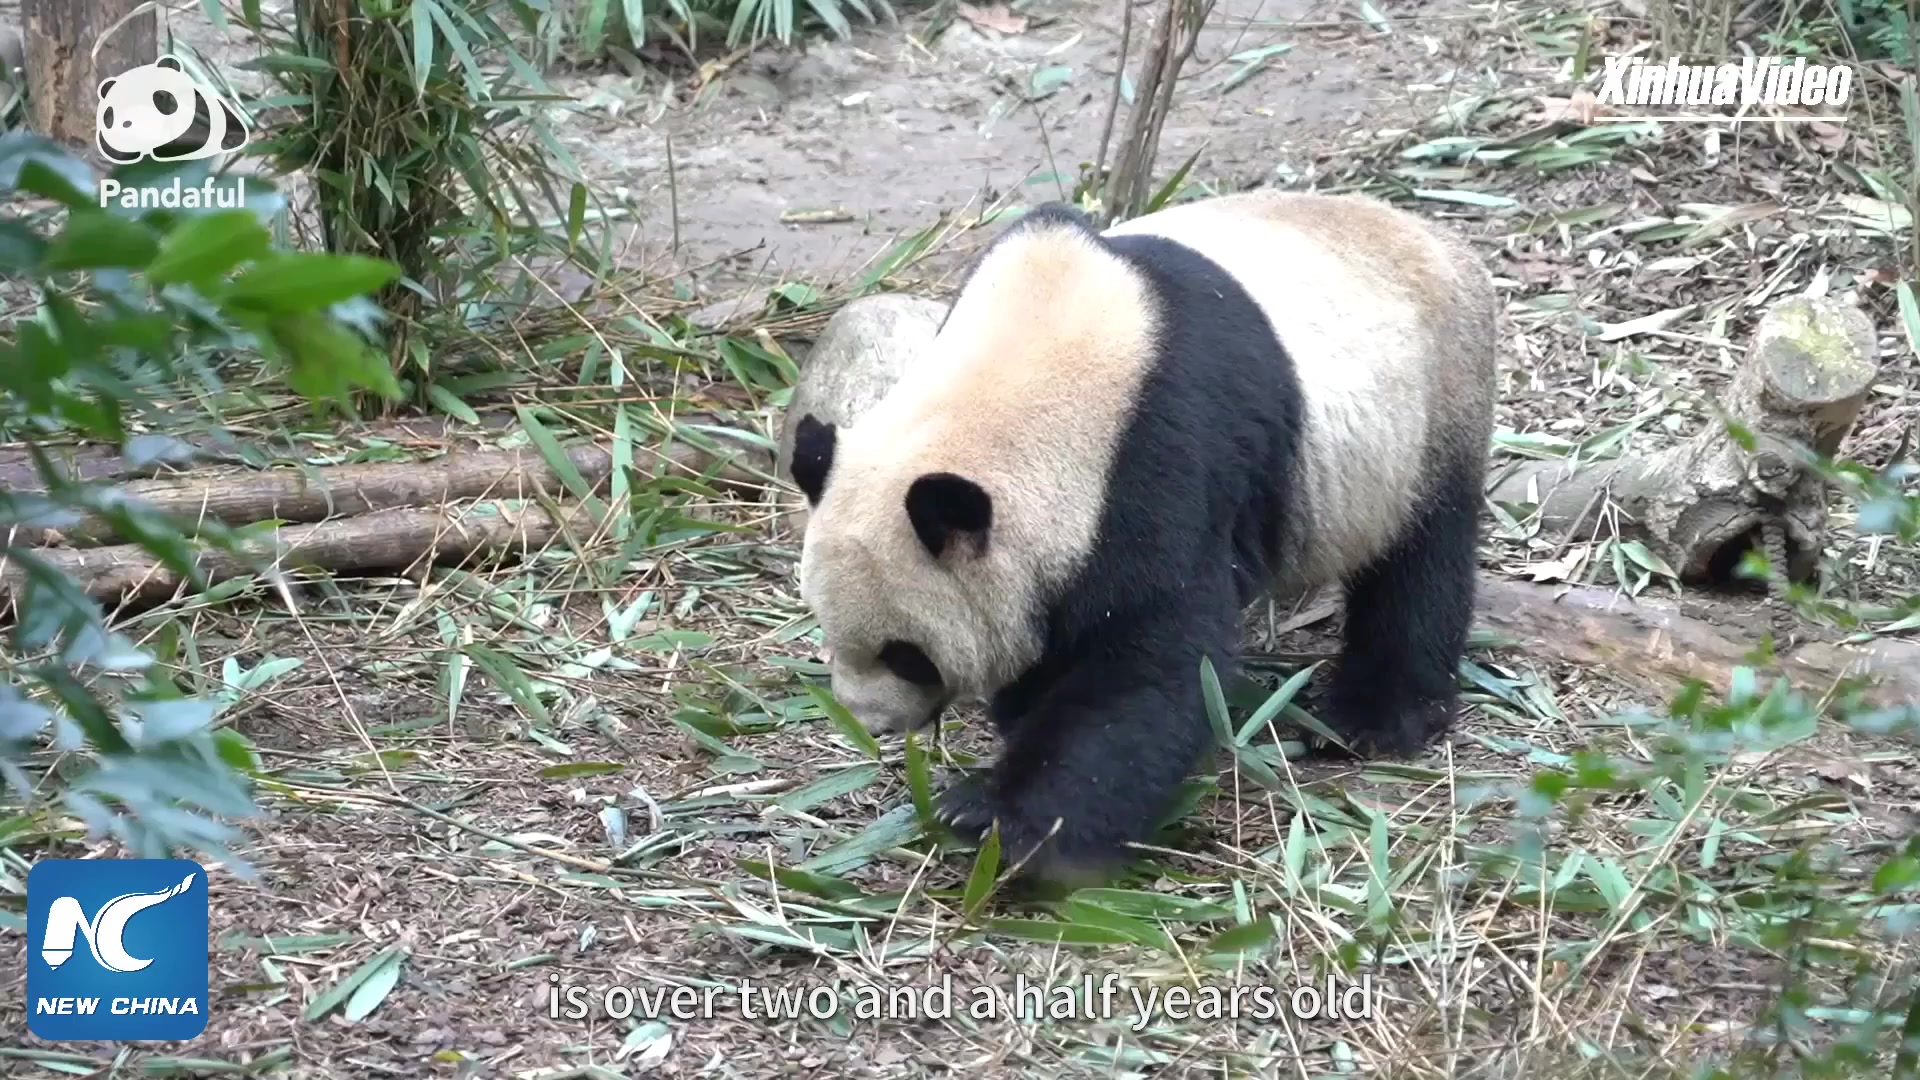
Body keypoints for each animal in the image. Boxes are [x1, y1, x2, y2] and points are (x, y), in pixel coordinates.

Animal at [783, 189, 1497, 880]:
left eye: (906, 654)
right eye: (827, 627)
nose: (869, 722)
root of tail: (1446, 243)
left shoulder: (1156, 462)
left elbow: (1149, 667)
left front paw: (1001, 822)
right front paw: (1015, 725)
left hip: (1427, 415)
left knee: (1420, 566)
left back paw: (1372, 716)